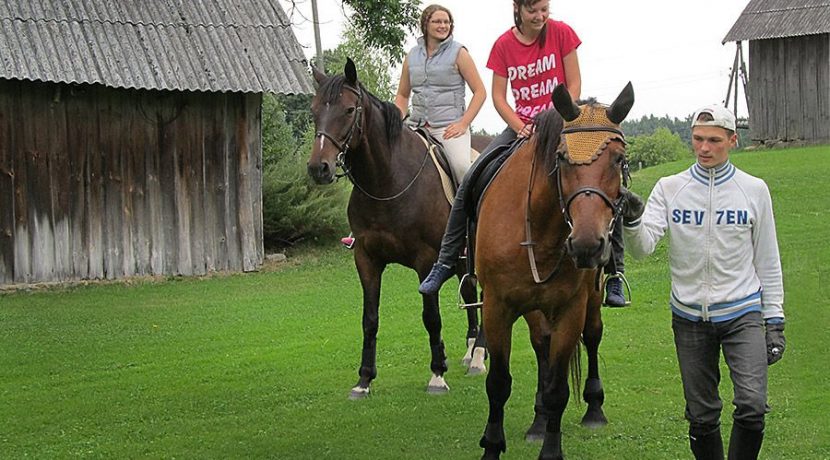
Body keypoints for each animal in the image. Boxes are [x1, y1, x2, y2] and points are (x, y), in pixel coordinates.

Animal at [308, 59, 484, 398]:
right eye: (313, 110)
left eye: (349, 110)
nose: (318, 168)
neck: (389, 180)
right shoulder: (366, 259)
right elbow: (369, 319)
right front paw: (364, 379)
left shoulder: (425, 261)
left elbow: (431, 317)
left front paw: (437, 375)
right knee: (470, 292)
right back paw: (471, 353)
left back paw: (480, 355)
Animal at [474, 83, 636, 460]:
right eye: (561, 158)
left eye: (618, 159)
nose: (587, 245)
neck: (540, 225)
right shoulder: (497, 307)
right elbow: (499, 383)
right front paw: (493, 444)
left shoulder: (569, 310)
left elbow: (558, 389)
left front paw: (551, 448)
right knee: (540, 344)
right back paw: (537, 421)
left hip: (590, 297)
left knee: (592, 336)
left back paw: (593, 409)